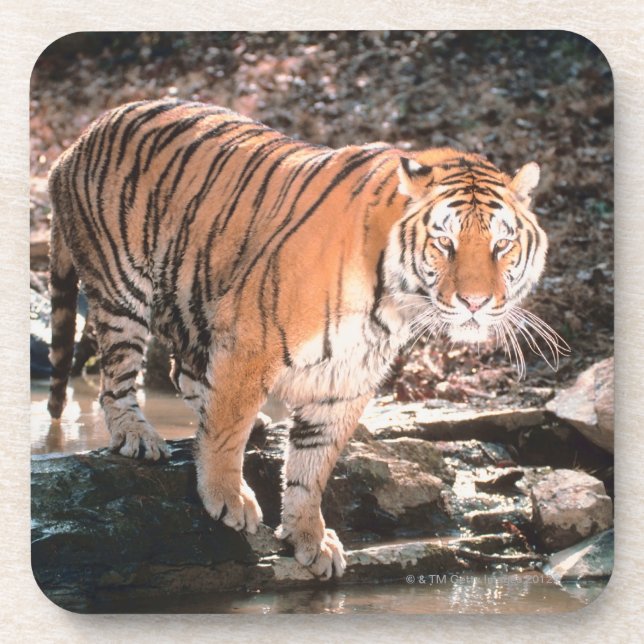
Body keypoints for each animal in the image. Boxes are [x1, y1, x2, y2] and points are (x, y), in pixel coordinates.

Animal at [46, 99, 563, 580]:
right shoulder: (251, 340)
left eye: (501, 245)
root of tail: (76, 142)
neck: (393, 304)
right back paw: (137, 435)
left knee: (184, 370)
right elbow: (228, 430)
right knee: (116, 379)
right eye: (445, 243)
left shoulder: (347, 379)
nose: (475, 302)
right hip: (122, 290)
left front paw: (309, 536)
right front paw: (227, 497)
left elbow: (312, 466)